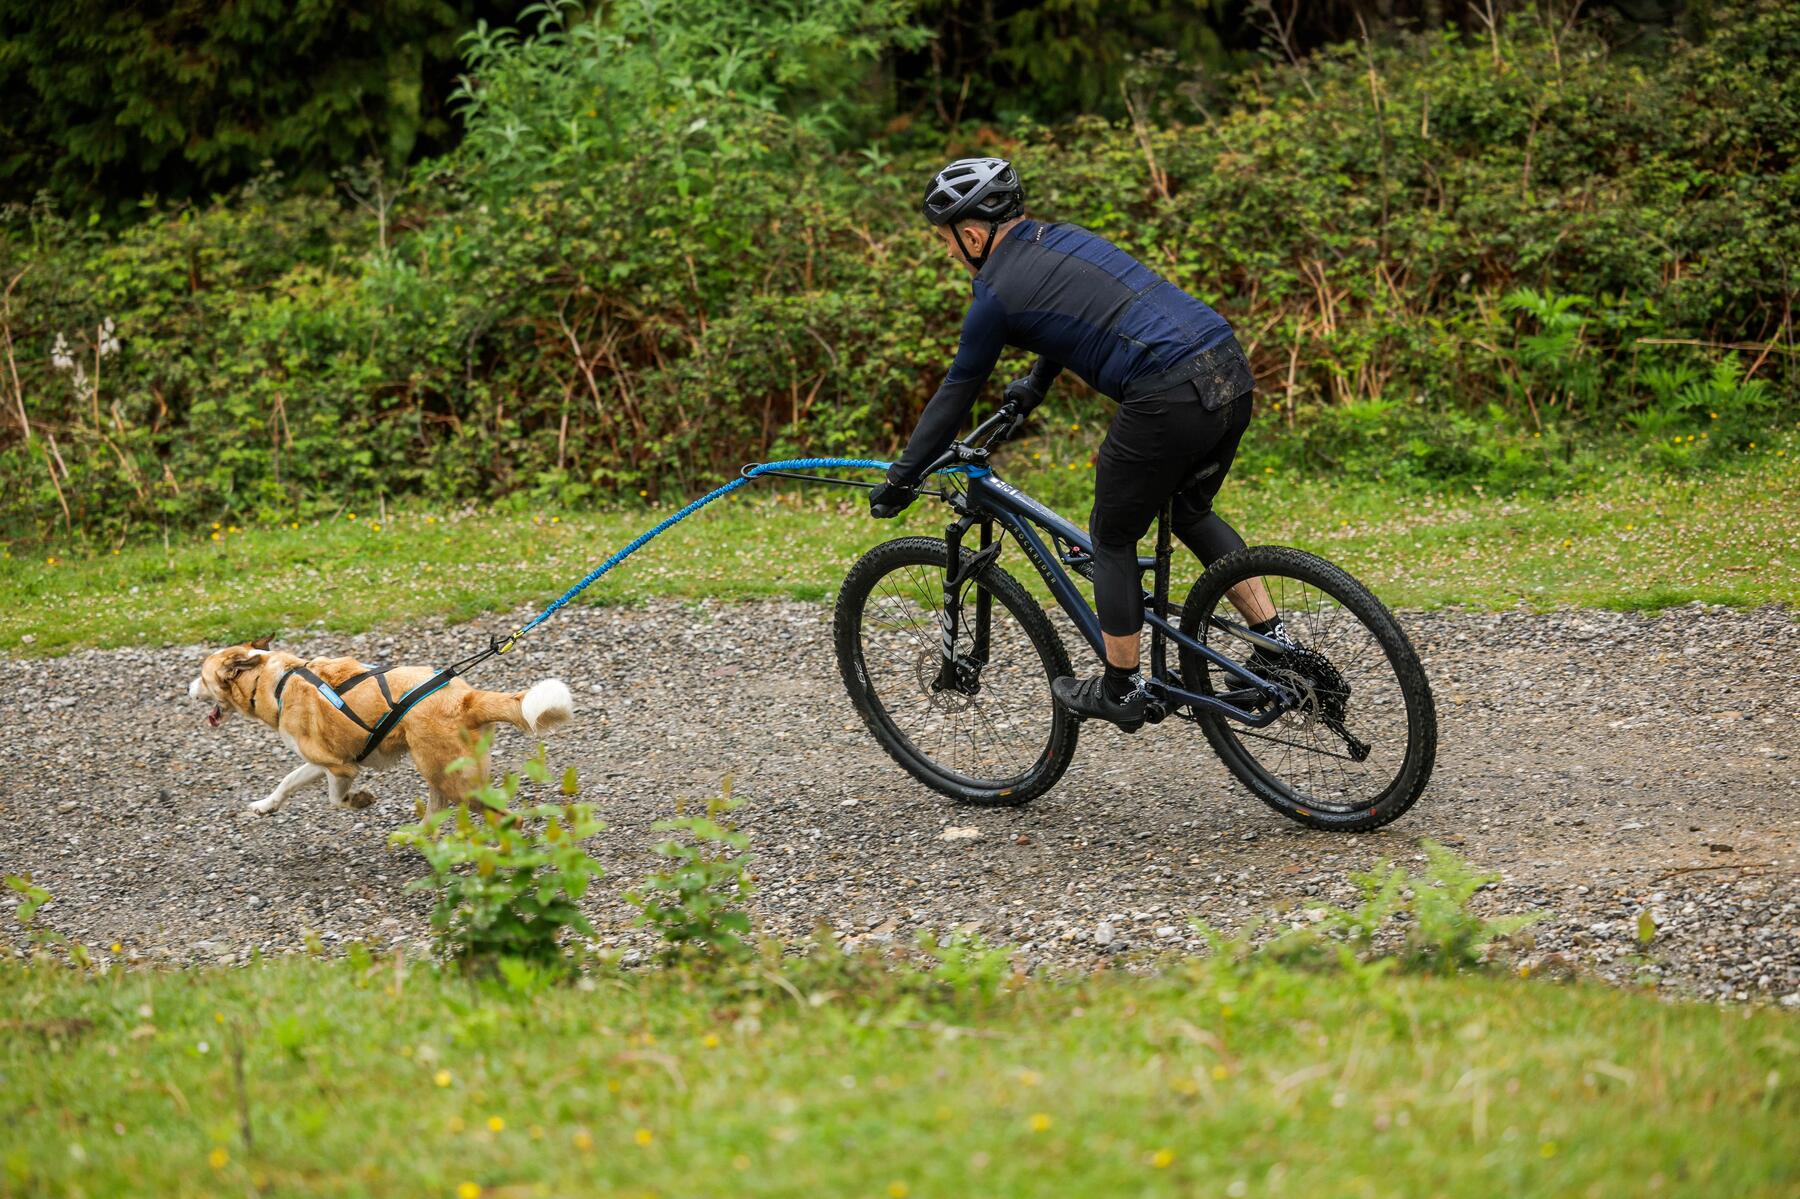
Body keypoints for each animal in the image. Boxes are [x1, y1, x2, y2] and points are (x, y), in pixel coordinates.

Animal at [190, 633, 572, 813]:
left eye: (202, 677)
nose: (187, 688)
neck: (275, 680)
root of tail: (467, 697)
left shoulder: (341, 767)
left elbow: (336, 799)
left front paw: (359, 800)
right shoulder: (319, 761)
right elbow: (286, 782)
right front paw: (264, 806)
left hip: (453, 780)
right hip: (440, 775)